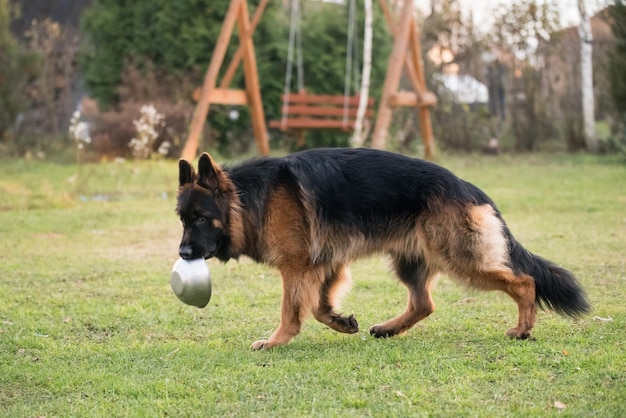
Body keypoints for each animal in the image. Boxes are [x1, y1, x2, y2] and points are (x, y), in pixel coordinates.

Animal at [176, 147, 588, 350]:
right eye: (182, 218)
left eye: (201, 219)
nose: (182, 254)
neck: (249, 197)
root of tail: (468, 188)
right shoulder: (326, 263)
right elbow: (320, 307)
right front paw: (341, 323)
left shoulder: (297, 267)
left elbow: (292, 310)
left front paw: (276, 341)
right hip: (411, 261)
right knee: (424, 303)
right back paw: (389, 330)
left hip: (460, 260)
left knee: (524, 282)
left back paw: (522, 329)